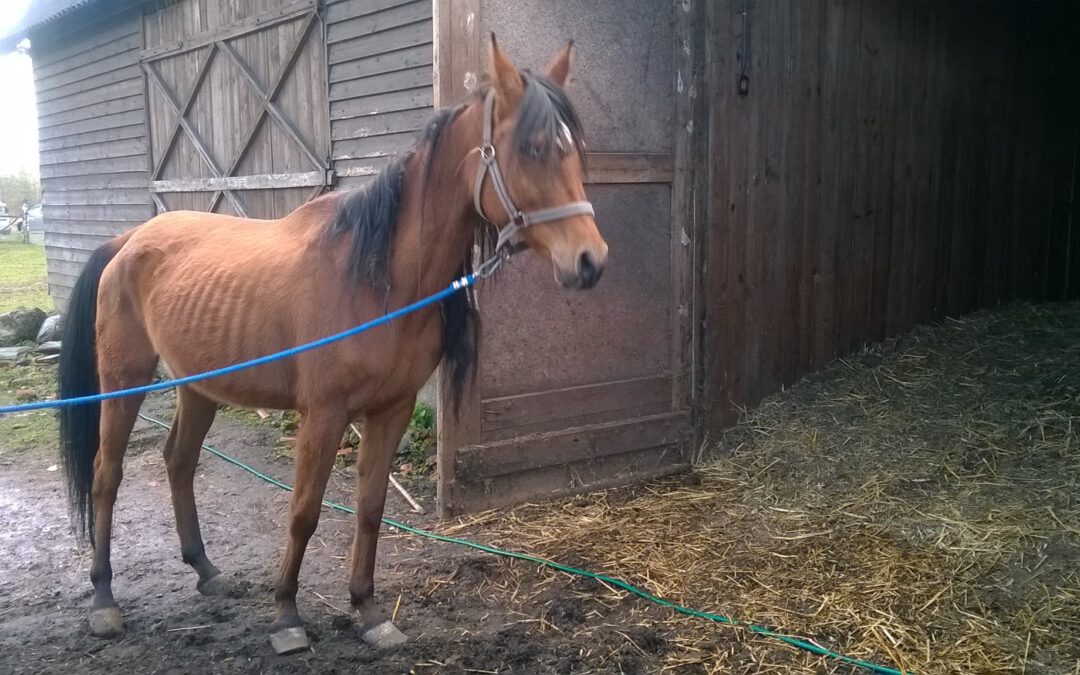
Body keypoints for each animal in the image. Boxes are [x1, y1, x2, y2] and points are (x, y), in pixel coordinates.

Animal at [56, 36, 609, 652]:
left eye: (576, 151)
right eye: (532, 148)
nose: (590, 261)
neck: (376, 278)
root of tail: (129, 239)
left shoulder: (390, 410)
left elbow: (370, 508)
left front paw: (368, 610)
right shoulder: (322, 415)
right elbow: (304, 512)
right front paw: (286, 616)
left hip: (197, 386)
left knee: (178, 461)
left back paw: (205, 570)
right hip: (122, 382)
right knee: (106, 475)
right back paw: (104, 599)